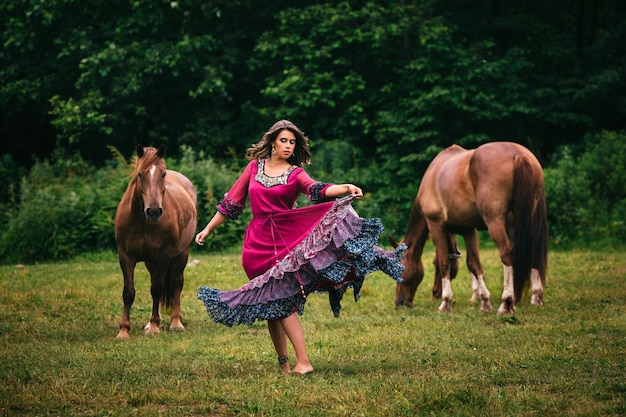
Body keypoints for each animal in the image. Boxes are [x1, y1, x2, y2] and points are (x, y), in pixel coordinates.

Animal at [114, 145, 196, 336]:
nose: (153, 211)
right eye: (140, 174)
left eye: (163, 174)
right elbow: (128, 292)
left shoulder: (165, 255)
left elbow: (158, 289)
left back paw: (175, 322)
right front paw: (124, 330)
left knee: (176, 283)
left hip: (182, 254)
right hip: (151, 261)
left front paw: (153, 326)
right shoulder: (125, 256)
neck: (142, 222)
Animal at [394, 141, 544, 314]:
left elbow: (445, 261)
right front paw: (484, 301)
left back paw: (506, 303)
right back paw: (536, 296)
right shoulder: (468, 230)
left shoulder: (436, 225)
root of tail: (518, 155)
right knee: (533, 252)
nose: (400, 302)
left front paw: (446, 302)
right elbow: (473, 264)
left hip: (496, 222)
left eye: (401, 269)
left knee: (507, 254)